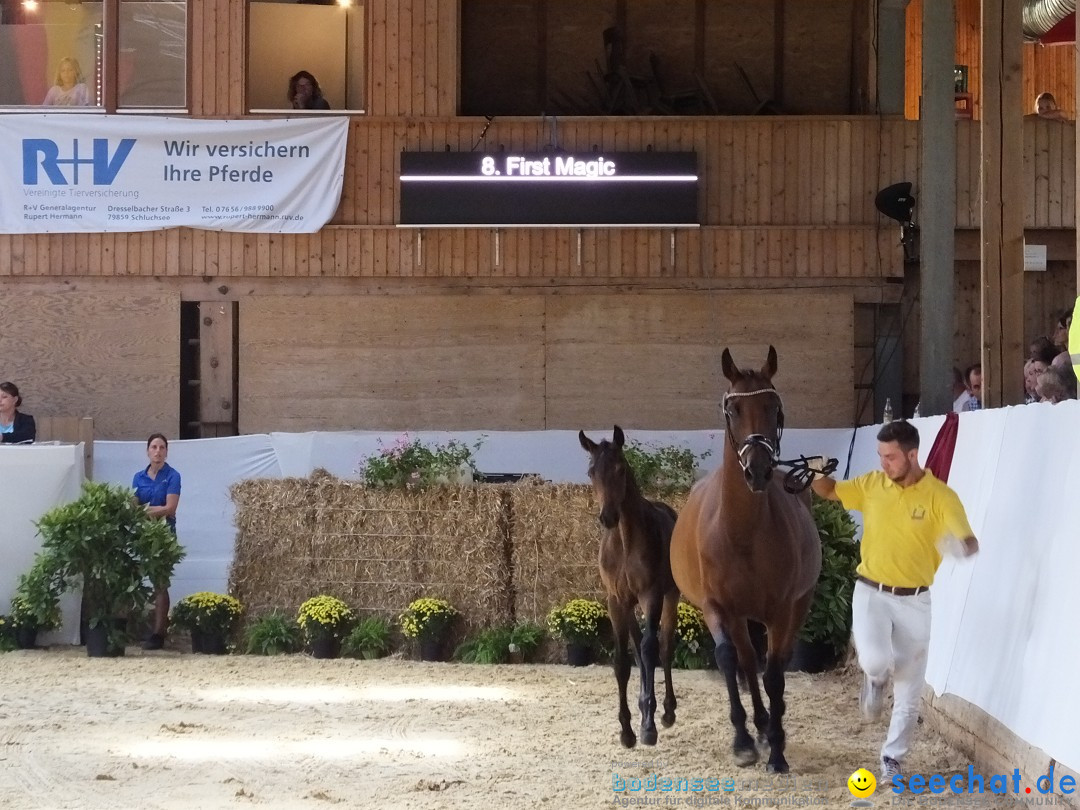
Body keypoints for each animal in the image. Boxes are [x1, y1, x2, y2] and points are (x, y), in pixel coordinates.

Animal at [578, 427, 678, 751]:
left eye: (620, 469)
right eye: (591, 472)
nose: (607, 517)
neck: (624, 541)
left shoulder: (652, 597)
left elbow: (651, 650)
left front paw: (648, 726)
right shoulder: (616, 601)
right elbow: (623, 661)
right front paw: (627, 730)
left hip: (670, 597)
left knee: (662, 647)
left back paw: (666, 711)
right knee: (639, 648)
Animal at [669, 347, 812, 773]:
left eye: (774, 408)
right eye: (733, 410)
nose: (758, 470)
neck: (740, 532)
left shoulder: (781, 610)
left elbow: (775, 674)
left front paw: (777, 750)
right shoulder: (718, 607)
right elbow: (730, 660)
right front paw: (744, 740)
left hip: (797, 606)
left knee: (770, 663)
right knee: (747, 661)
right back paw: (760, 726)